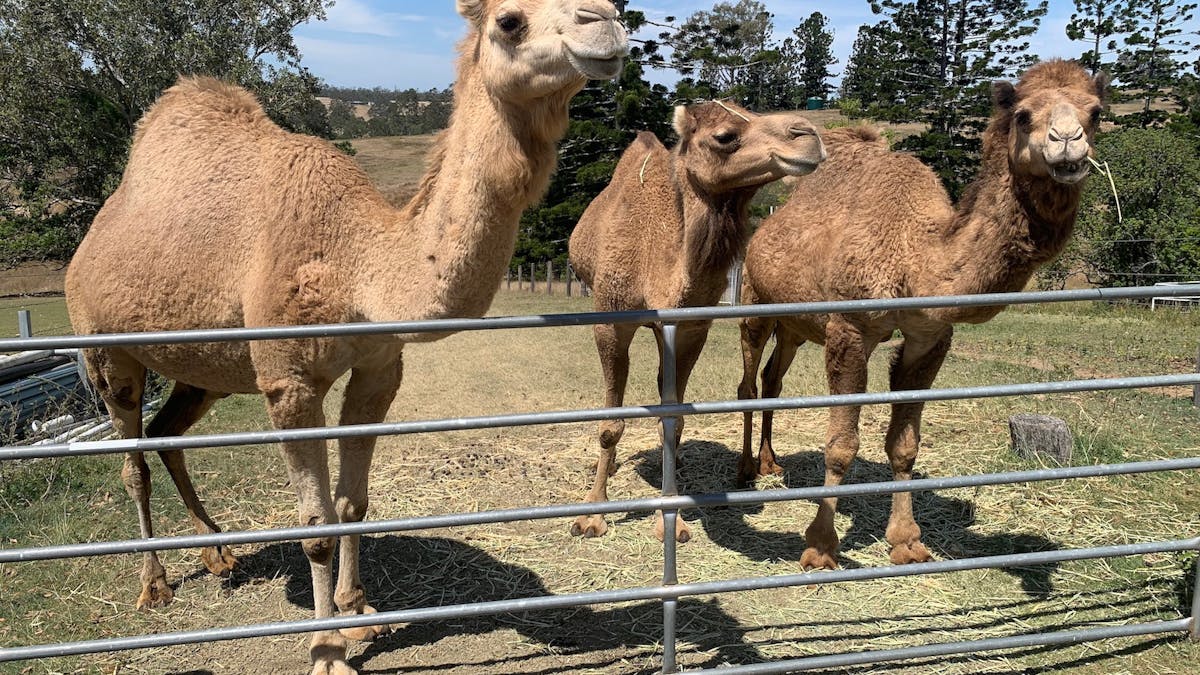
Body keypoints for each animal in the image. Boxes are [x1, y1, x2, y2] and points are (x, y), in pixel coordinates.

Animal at [64, 2, 627, 673]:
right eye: (510, 21)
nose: (607, 23)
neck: (360, 266)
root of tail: (87, 245)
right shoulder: (289, 380)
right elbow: (315, 524)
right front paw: (327, 647)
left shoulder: (380, 368)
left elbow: (353, 504)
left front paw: (358, 611)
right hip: (106, 350)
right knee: (132, 459)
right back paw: (154, 586)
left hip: (206, 367)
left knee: (167, 433)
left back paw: (218, 553)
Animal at [568, 101, 826, 542]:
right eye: (725, 136)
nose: (808, 135)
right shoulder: (611, 323)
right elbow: (610, 424)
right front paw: (592, 516)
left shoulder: (690, 328)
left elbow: (672, 421)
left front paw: (672, 522)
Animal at [736, 60, 1108, 571]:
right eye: (1024, 115)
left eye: (1096, 112)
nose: (1068, 141)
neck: (915, 255)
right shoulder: (849, 328)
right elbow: (841, 446)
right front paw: (820, 546)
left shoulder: (929, 336)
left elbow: (904, 444)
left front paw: (907, 543)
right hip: (754, 302)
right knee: (748, 382)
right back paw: (745, 471)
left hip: (795, 325)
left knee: (773, 379)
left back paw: (771, 462)